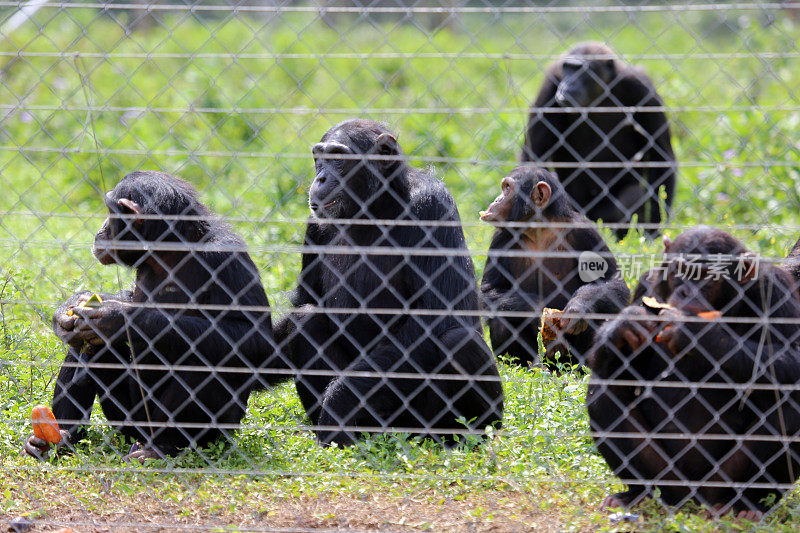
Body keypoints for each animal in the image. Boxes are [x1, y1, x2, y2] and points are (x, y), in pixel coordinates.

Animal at [23, 171, 278, 462]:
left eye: (109, 212)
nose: (101, 229)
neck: (169, 251)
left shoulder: (226, 256)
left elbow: (254, 337)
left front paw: (114, 317)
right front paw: (70, 308)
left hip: (214, 434)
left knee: (205, 359)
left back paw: (162, 448)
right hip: (128, 422)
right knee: (86, 347)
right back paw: (58, 439)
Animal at [272, 119, 504, 444]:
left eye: (338, 158)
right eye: (319, 157)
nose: (320, 178)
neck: (373, 210)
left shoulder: (432, 206)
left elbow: (436, 315)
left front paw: (339, 401)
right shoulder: (313, 229)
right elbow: (305, 300)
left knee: (458, 341)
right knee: (305, 319)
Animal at [482, 166, 632, 370]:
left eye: (507, 188)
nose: (497, 199)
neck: (538, 229)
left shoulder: (585, 232)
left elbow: (612, 282)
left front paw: (578, 309)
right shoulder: (500, 239)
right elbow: (488, 290)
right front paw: (538, 312)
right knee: (501, 320)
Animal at [520, 42, 676, 238]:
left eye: (580, 69)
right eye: (567, 68)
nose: (568, 83)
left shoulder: (643, 90)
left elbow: (660, 157)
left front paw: (654, 229)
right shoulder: (550, 86)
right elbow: (535, 155)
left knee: (633, 196)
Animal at [584, 227, 800, 516]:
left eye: (706, 277)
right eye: (681, 270)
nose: (686, 291)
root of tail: (693, 500)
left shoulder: (775, 289)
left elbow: (793, 356)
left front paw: (693, 331)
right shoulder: (646, 285)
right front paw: (625, 324)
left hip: (721, 482)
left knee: (790, 409)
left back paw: (747, 505)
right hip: (668, 478)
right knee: (603, 388)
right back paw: (637, 495)